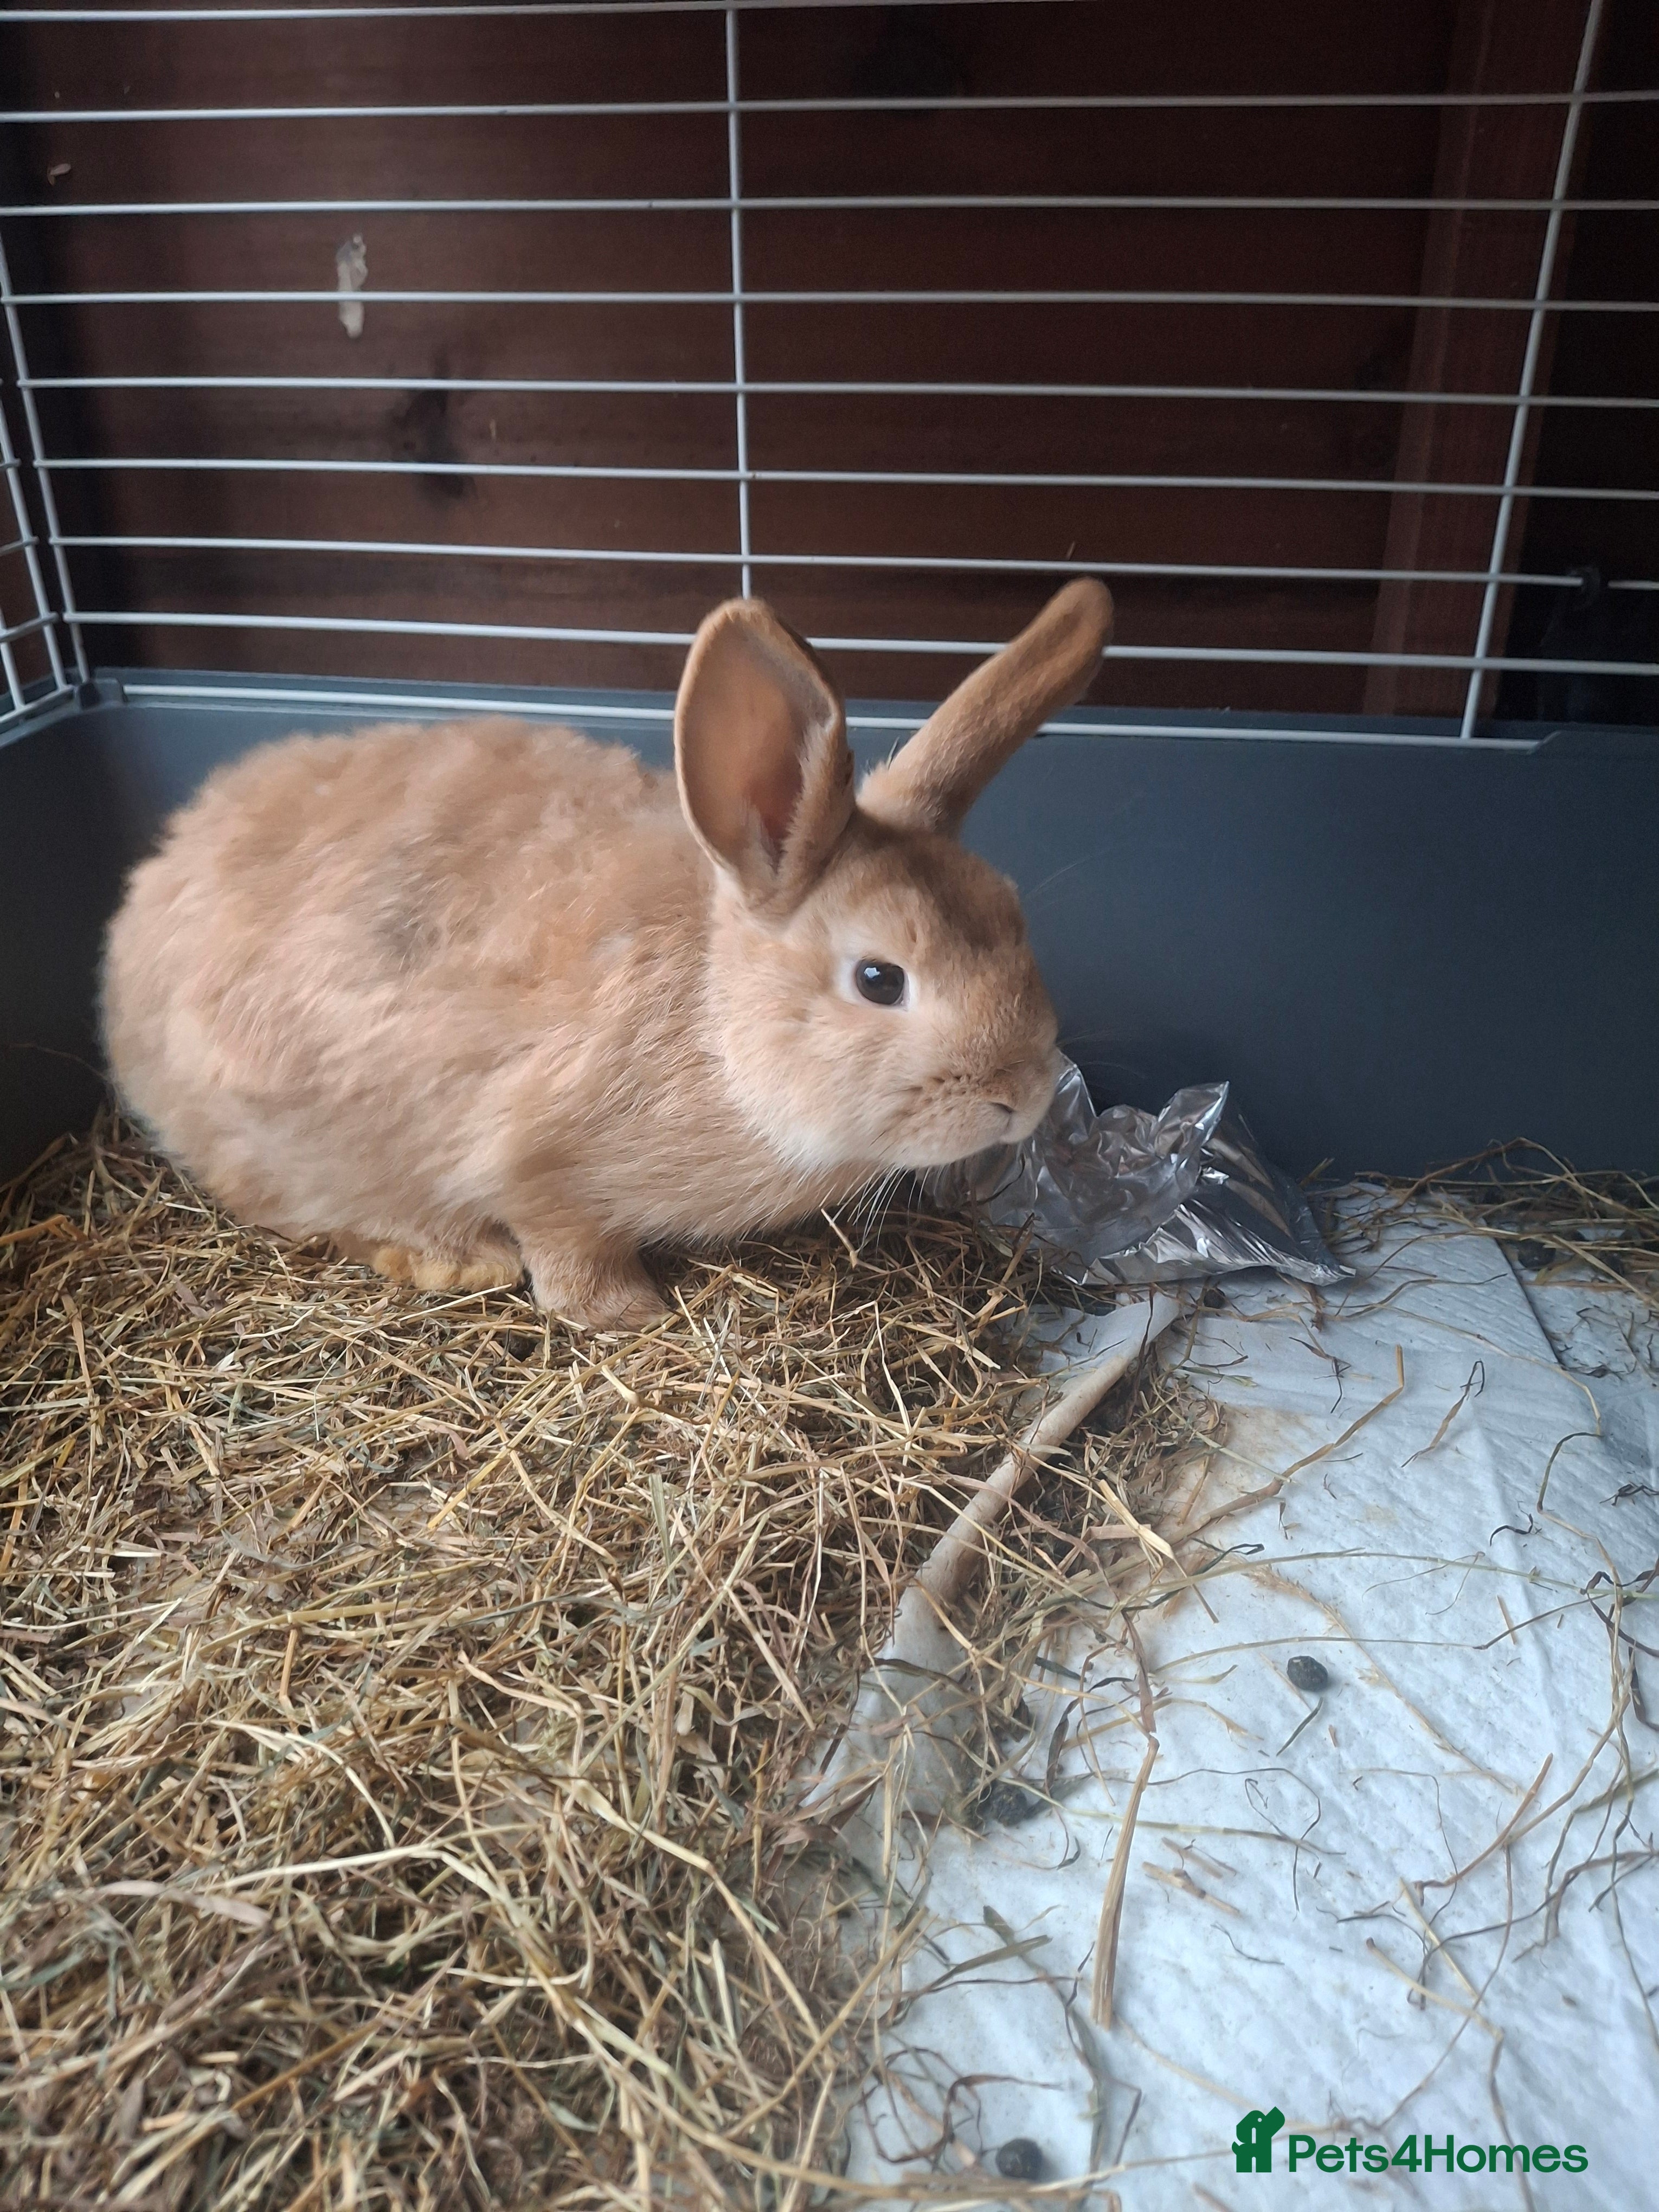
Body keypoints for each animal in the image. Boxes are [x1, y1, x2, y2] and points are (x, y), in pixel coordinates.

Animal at [101, 579, 1113, 1329]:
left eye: (1011, 915)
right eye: (879, 979)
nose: (1024, 1096)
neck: (717, 1025)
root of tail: (132, 931)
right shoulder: (535, 1162)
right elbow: (567, 1248)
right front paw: (631, 1315)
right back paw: (454, 1261)